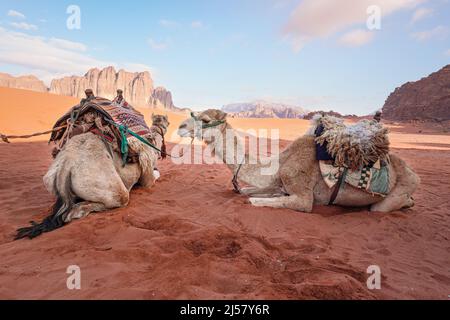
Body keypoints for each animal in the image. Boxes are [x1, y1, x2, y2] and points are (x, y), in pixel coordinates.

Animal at [15, 114, 170, 239]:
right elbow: (153, 177)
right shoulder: (147, 170)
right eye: (166, 121)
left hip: (51, 179)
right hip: (111, 188)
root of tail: (66, 164)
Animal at [178, 109, 420, 212]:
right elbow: (247, 191)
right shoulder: (277, 181)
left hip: (396, 192)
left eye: (205, 119)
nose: (180, 126)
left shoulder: (303, 197)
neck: (280, 163)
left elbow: (253, 200)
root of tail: (414, 173)